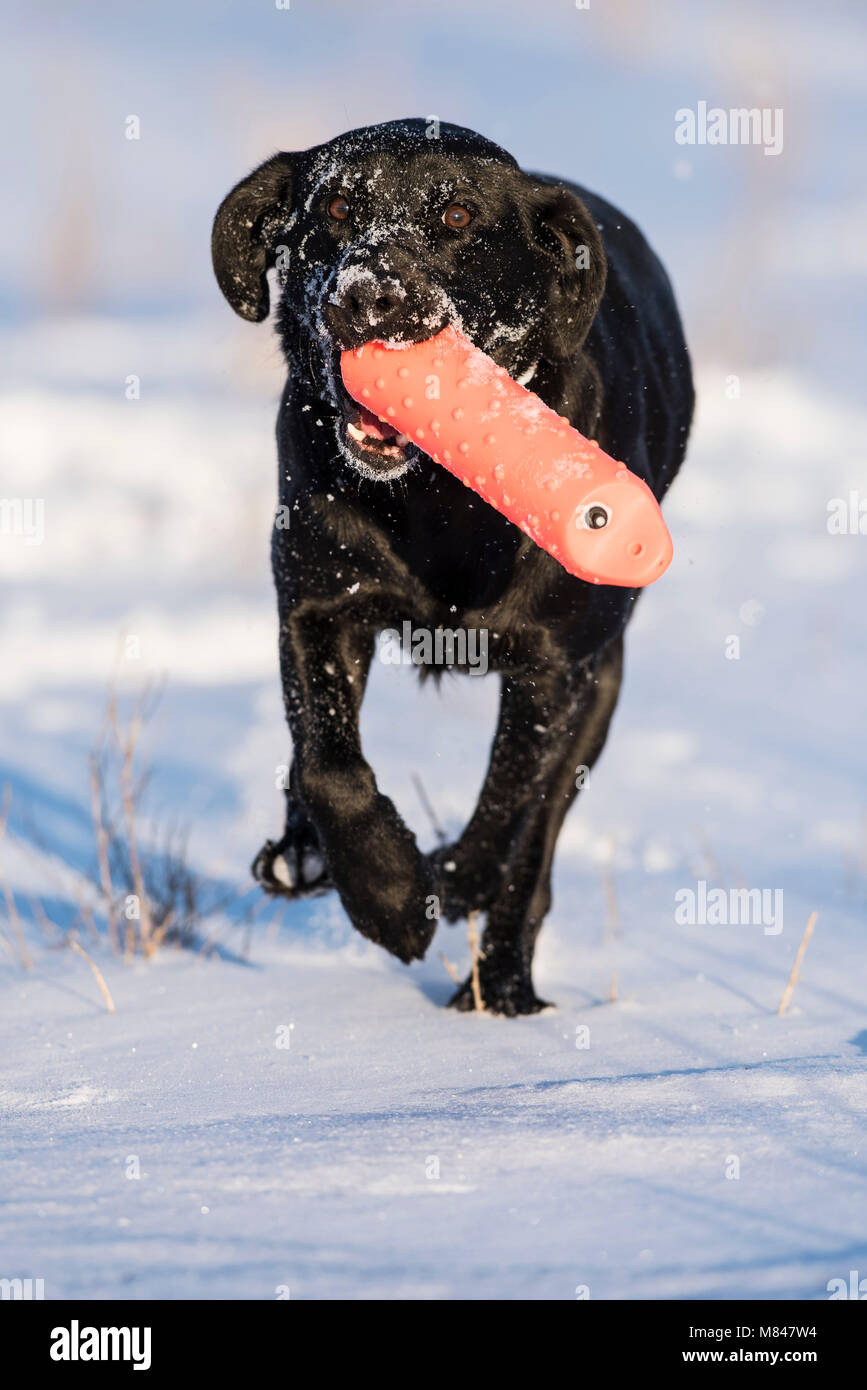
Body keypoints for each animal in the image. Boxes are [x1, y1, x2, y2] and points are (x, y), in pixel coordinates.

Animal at [213, 116, 694, 1011]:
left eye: (460, 217)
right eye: (335, 206)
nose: (367, 294)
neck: (439, 495)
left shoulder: (557, 670)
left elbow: (509, 807)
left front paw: (444, 881)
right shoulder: (318, 608)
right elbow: (329, 768)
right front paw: (390, 898)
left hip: (600, 686)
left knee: (533, 851)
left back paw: (497, 990)